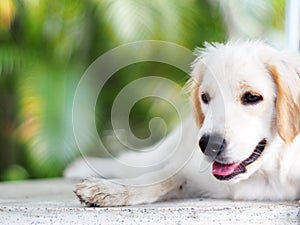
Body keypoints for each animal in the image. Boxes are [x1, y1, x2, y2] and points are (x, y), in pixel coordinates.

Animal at [67, 40, 300, 207]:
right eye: (205, 97)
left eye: (252, 97)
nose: (208, 145)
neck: (266, 174)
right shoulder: (189, 171)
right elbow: (161, 177)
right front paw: (112, 190)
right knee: (128, 162)